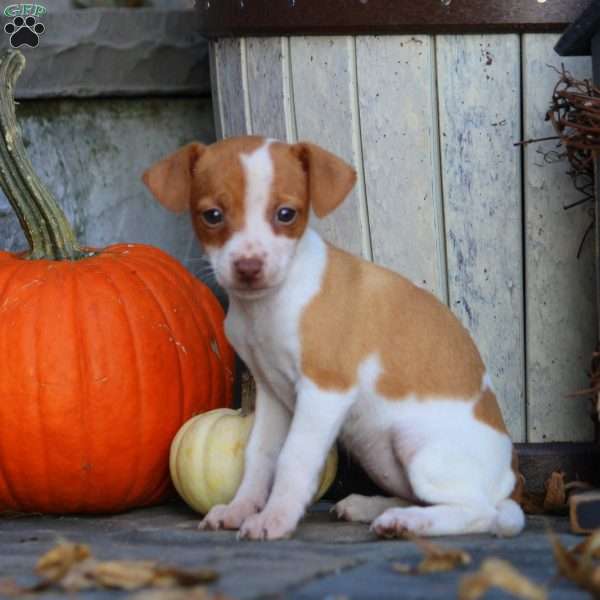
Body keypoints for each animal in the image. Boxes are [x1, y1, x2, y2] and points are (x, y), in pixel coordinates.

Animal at [143, 136, 524, 540]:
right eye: (212, 215)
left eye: (286, 214)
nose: (248, 267)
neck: (268, 307)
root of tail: (511, 476)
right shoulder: (271, 395)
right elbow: (259, 456)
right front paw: (240, 509)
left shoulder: (324, 392)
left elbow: (293, 458)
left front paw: (275, 519)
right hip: (386, 460)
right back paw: (372, 508)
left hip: (418, 446)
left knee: (480, 512)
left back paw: (407, 523)